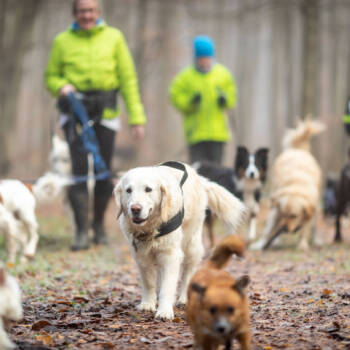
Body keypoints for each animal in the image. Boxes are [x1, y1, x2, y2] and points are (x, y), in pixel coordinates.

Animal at [113, 161, 246, 320]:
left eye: (148, 189)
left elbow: (168, 286)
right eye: (128, 190)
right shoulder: (141, 256)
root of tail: (199, 178)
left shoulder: (171, 255)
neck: (152, 227)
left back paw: (184, 298)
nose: (135, 209)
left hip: (192, 245)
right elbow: (148, 283)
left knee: (187, 274)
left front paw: (164, 311)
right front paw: (148, 304)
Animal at [250, 119, 324, 250]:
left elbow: (305, 229)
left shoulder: (310, 210)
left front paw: (302, 245)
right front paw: (261, 244)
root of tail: (298, 150)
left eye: (294, 215)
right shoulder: (276, 210)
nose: (284, 228)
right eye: (283, 213)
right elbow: (268, 230)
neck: (296, 186)